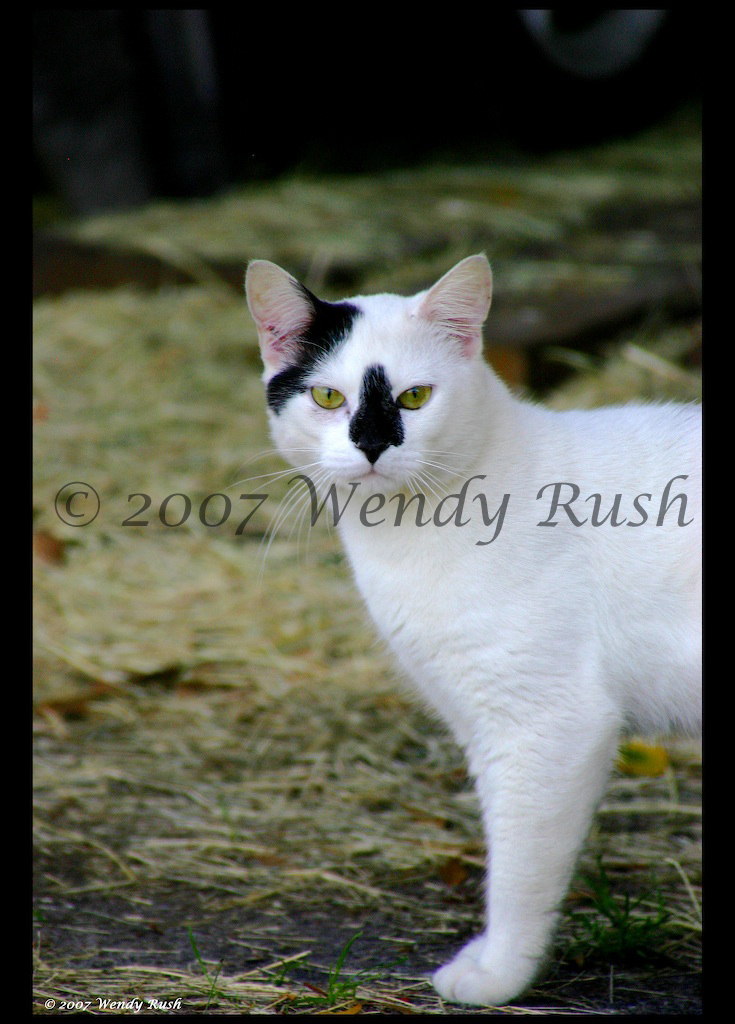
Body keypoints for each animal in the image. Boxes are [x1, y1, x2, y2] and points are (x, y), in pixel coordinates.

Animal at [245, 256, 704, 1007]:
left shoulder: (547, 726)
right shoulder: (482, 726)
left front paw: (498, 974)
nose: (372, 444)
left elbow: (518, 872)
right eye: (327, 397)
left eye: (414, 398)